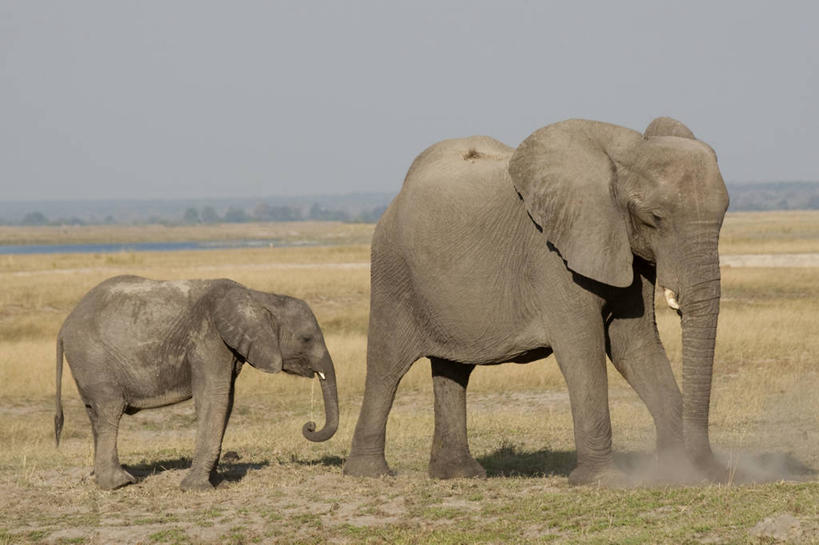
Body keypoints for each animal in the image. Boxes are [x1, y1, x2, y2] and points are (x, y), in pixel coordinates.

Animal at [54, 274, 338, 490]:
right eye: (306, 339)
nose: (310, 426)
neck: (258, 297)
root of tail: (64, 326)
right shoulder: (208, 339)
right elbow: (214, 398)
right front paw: (196, 488)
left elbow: (227, 400)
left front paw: (216, 481)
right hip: (93, 357)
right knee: (110, 409)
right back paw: (119, 484)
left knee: (95, 414)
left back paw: (101, 478)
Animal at [344, 117, 732, 482]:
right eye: (654, 218)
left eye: (724, 215)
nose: (712, 469)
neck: (625, 151)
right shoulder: (553, 252)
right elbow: (581, 347)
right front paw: (604, 481)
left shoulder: (620, 248)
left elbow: (635, 345)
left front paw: (677, 473)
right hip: (393, 271)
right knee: (386, 365)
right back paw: (369, 473)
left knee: (453, 368)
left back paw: (458, 474)